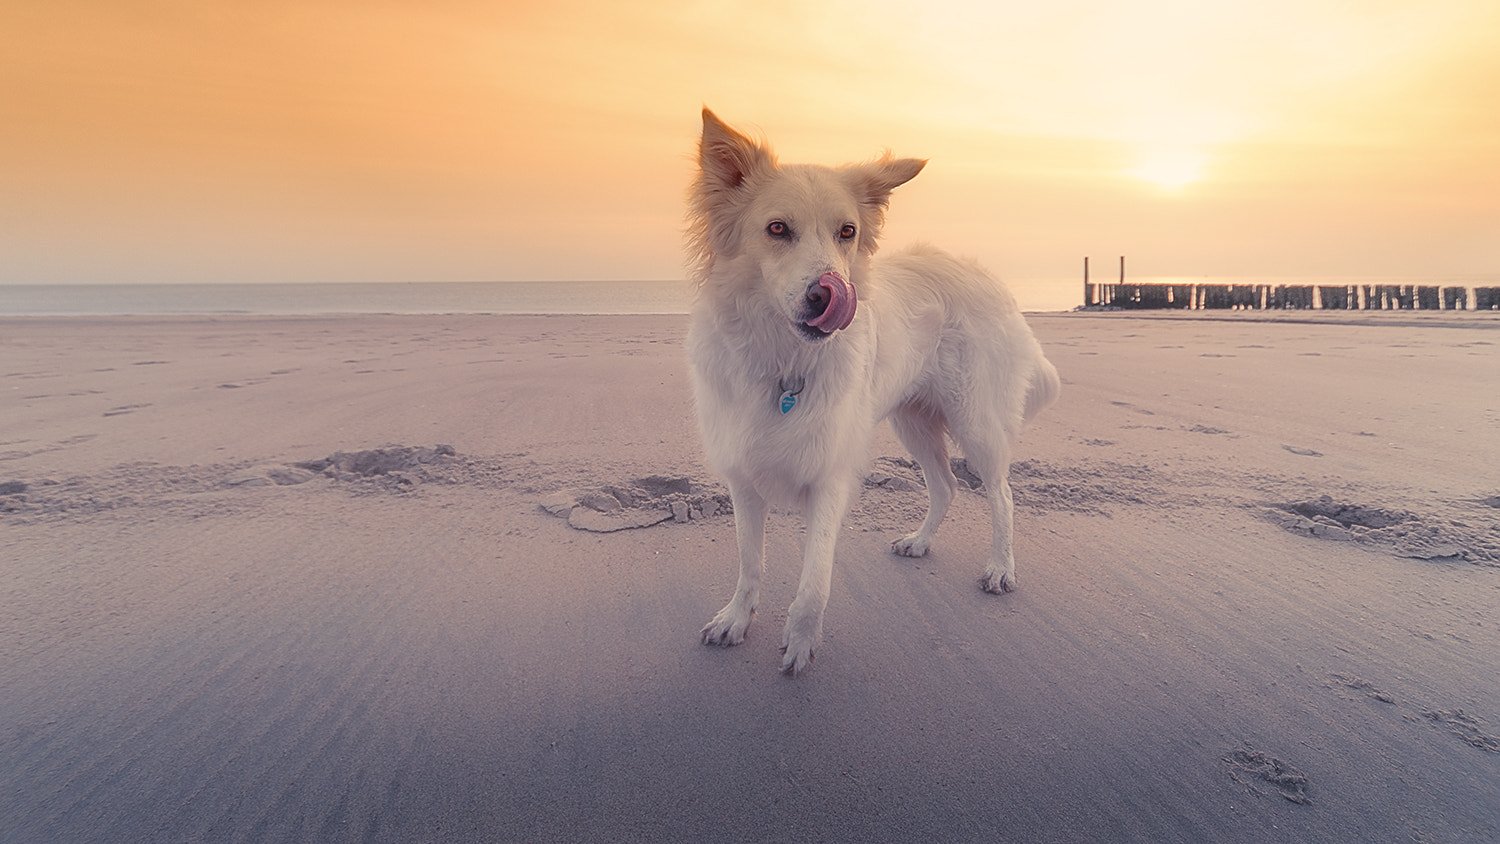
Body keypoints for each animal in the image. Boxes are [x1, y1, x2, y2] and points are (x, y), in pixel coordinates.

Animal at [687, 110, 1062, 674]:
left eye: (848, 232)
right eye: (777, 229)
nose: (827, 294)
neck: (786, 362)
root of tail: (986, 277)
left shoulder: (831, 475)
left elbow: (815, 580)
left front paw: (801, 642)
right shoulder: (744, 475)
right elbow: (750, 562)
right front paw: (736, 619)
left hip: (976, 423)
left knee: (1002, 495)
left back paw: (1000, 568)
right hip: (913, 422)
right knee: (946, 486)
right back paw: (920, 543)